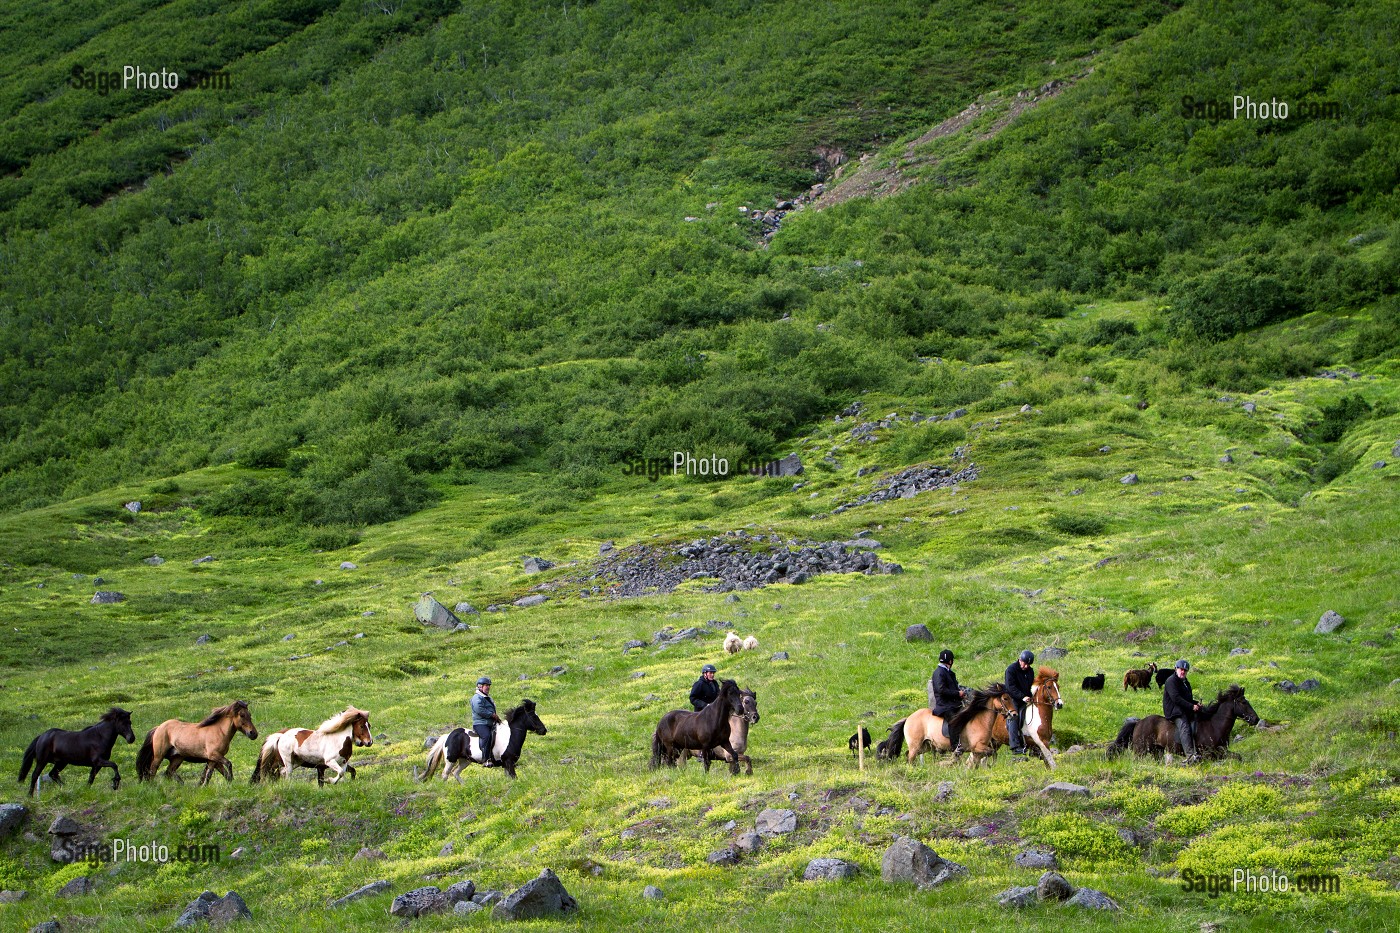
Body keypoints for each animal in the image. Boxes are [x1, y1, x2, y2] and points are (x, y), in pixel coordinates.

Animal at [414, 694, 546, 778]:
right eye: (534, 716)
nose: (544, 730)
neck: (510, 736)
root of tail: (448, 735)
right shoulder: (509, 763)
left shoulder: (507, 765)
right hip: (450, 759)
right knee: (445, 775)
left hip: (465, 760)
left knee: (455, 773)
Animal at [1108, 680, 1265, 762]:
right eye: (1243, 702)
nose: (1256, 719)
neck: (1214, 726)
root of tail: (1139, 722)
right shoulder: (1208, 754)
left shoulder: (1221, 751)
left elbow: (1237, 756)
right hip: (1140, 751)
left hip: (1157, 751)